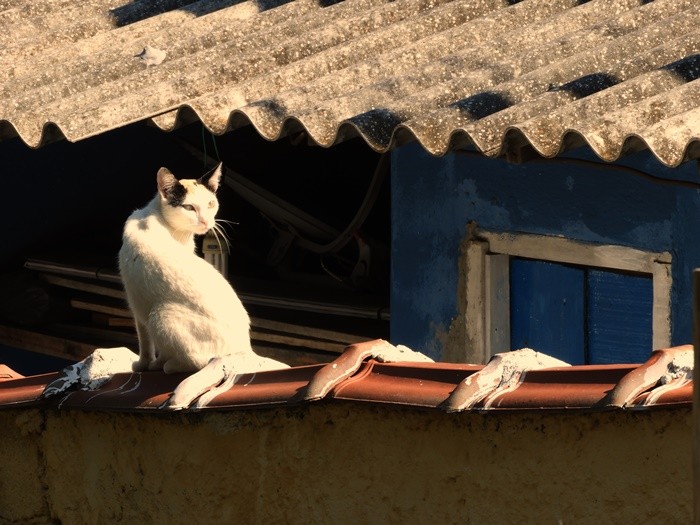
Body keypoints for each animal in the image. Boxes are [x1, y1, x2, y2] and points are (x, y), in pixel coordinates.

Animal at [117, 162, 284, 374]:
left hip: (159, 315)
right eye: (189, 207)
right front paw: (149, 365)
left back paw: (169, 366)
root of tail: (245, 351)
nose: (205, 221)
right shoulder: (137, 303)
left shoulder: (138, 306)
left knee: (197, 361)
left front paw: (146, 365)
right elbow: (149, 344)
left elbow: (146, 344)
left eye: (210, 204)